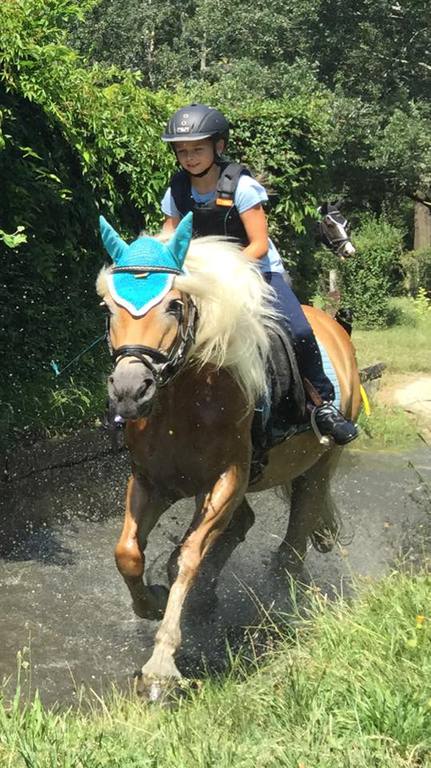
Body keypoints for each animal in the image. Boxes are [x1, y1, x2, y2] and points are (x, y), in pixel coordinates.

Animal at [97, 212, 361, 700]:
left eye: (174, 305)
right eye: (109, 309)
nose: (128, 391)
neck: (185, 399)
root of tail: (333, 325)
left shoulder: (227, 478)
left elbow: (186, 557)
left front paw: (161, 666)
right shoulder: (151, 481)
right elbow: (128, 553)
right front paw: (153, 601)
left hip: (318, 466)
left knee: (293, 542)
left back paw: (277, 606)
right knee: (245, 526)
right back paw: (208, 600)